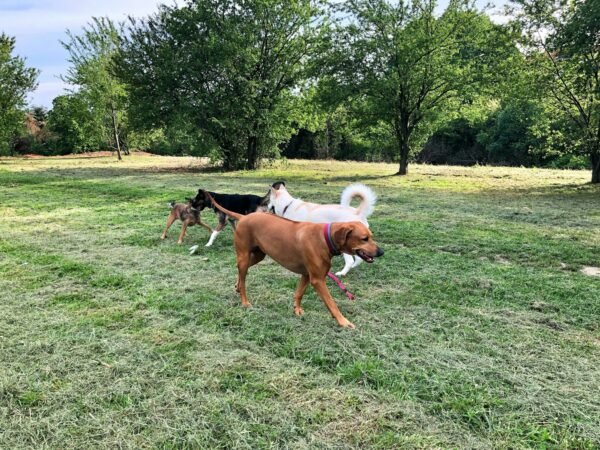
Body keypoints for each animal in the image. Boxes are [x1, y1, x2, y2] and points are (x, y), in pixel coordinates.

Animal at [206, 192, 384, 326]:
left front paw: (297, 310)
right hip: (244, 255)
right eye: (364, 238)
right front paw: (343, 322)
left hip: (258, 255)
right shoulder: (318, 279)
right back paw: (244, 301)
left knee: (240, 271)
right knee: (243, 280)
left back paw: (236, 286)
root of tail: (243, 217)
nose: (381, 252)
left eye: (371, 236)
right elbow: (331, 303)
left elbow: (299, 293)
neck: (325, 238)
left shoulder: (306, 274)